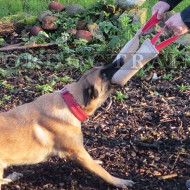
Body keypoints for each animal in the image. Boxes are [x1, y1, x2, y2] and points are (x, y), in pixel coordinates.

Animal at [0, 58, 134, 189]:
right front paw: (119, 181)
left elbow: (92, 163)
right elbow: (102, 171)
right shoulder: (77, 153)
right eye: (103, 74)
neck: (70, 103)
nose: (121, 59)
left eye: (102, 68)